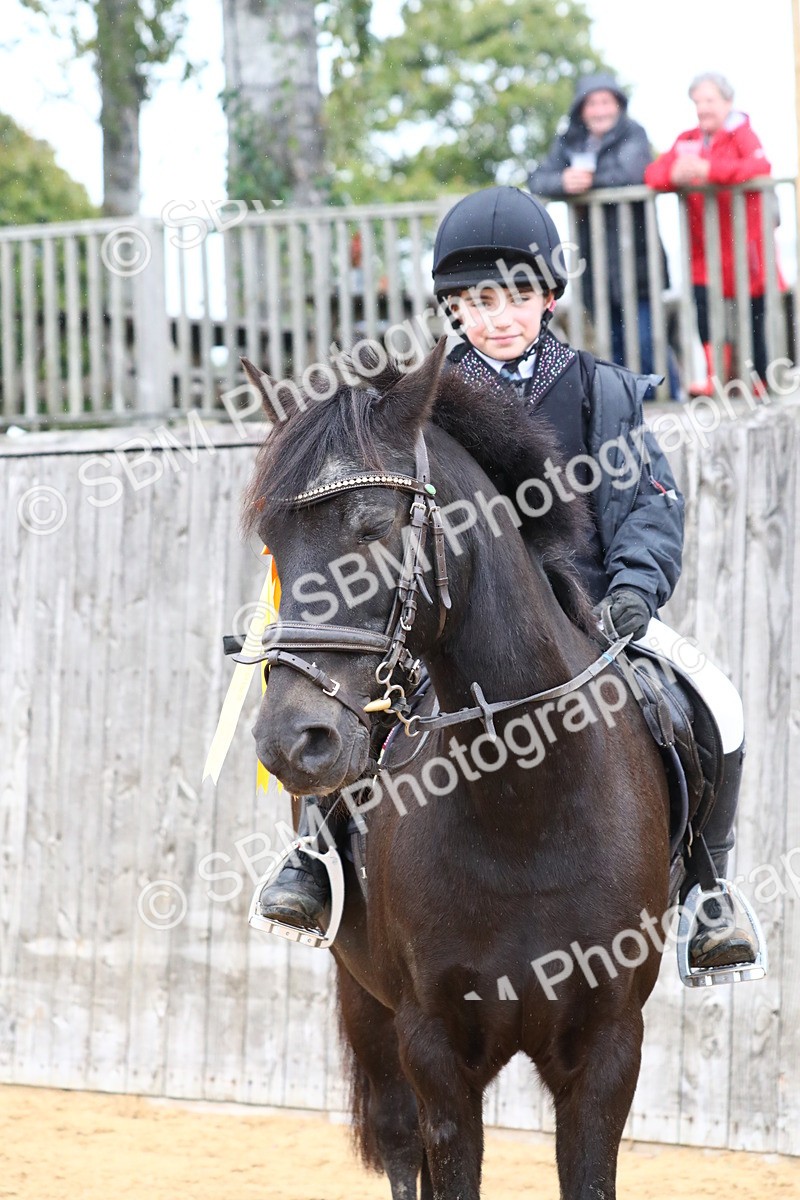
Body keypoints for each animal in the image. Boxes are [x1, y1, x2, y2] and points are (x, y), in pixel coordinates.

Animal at [239, 342, 671, 1200]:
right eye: (272, 538)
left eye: (373, 526)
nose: (290, 742)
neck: (527, 807)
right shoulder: (432, 1044)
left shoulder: (609, 1049)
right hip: (369, 1010)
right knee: (402, 1149)